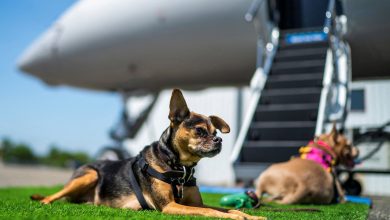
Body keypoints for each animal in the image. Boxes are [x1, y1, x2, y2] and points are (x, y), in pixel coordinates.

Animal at [31, 88, 266, 219]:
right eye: (200, 131)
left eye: (215, 132)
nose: (219, 140)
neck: (179, 168)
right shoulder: (169, 207)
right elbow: (212, 212)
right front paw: (234, 217)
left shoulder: (194, 204)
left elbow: (226, 209)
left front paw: (249, 216)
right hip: (89, 175)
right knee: (54, 196)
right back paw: (44, 202)